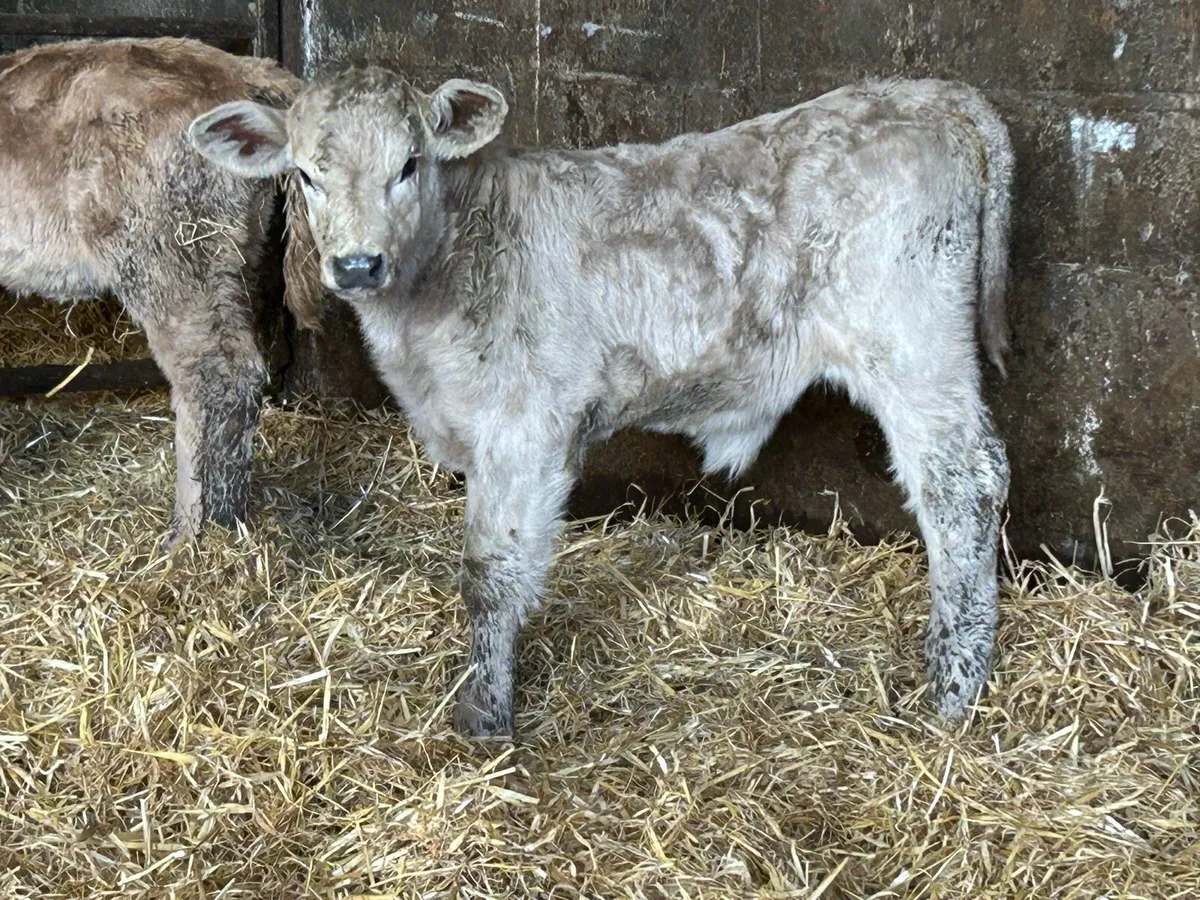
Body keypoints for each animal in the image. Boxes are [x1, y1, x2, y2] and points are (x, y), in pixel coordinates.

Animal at [0, 38, 322, 547]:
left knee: (211, 377)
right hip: (228, 259)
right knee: (241, 374)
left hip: (165, 257)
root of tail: (241, 69)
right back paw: (229, 517)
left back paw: (187, 533)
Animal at [189, 67, 1013, 736]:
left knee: (963, 484)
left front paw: (483, 717)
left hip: (913, 346)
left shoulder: (525, 429)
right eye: (306, 175)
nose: (358, 264)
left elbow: (490, 574)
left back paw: (953, 687)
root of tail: (920, 91)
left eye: (409, 164)